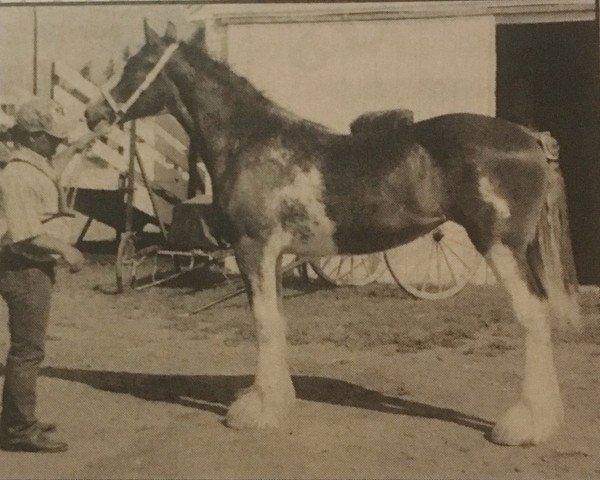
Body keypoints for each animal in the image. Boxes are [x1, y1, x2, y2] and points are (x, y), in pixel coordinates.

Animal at [84, 19, 580, 446]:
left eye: (136, 66)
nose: (93, 115)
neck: (250, 140)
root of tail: (530, 138)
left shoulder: (253, 248)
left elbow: (263, 323)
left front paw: (258, 412)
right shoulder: (276, 255)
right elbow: (276, 321)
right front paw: (275, 401)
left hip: (501, 245)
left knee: (532, 316)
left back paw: (525, 426)